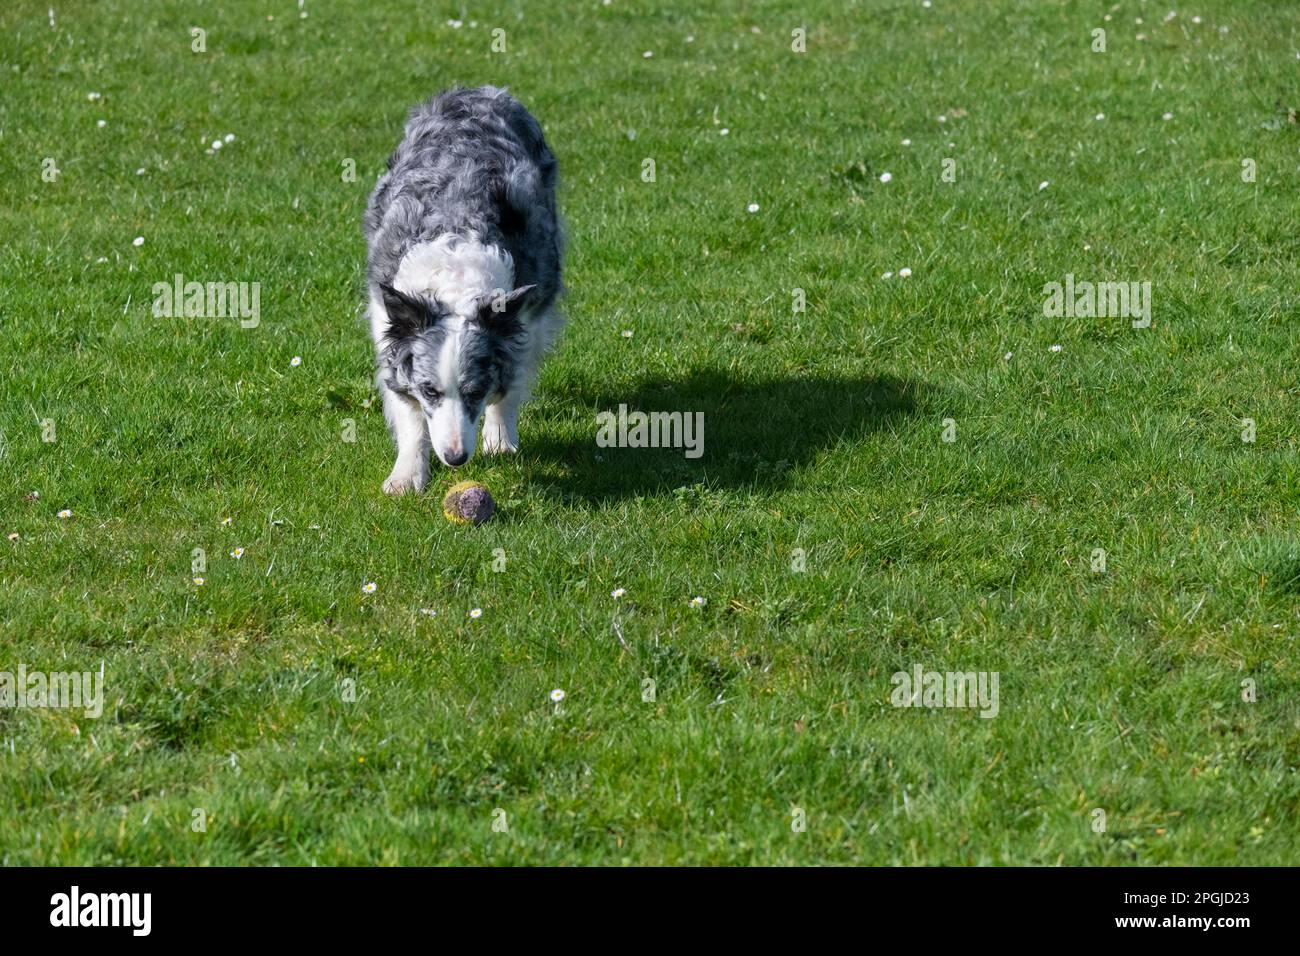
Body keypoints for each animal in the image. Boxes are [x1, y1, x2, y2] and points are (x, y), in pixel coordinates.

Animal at [364, 83, 561, 494]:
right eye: (430, 391)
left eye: (475, 391)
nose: (455, 458)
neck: (453, 286)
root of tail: (479, 90)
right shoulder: (386, 319)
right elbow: (406, 407)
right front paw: (407, 475)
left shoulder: (528, 312)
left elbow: (514, 378)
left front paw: (500, 439)